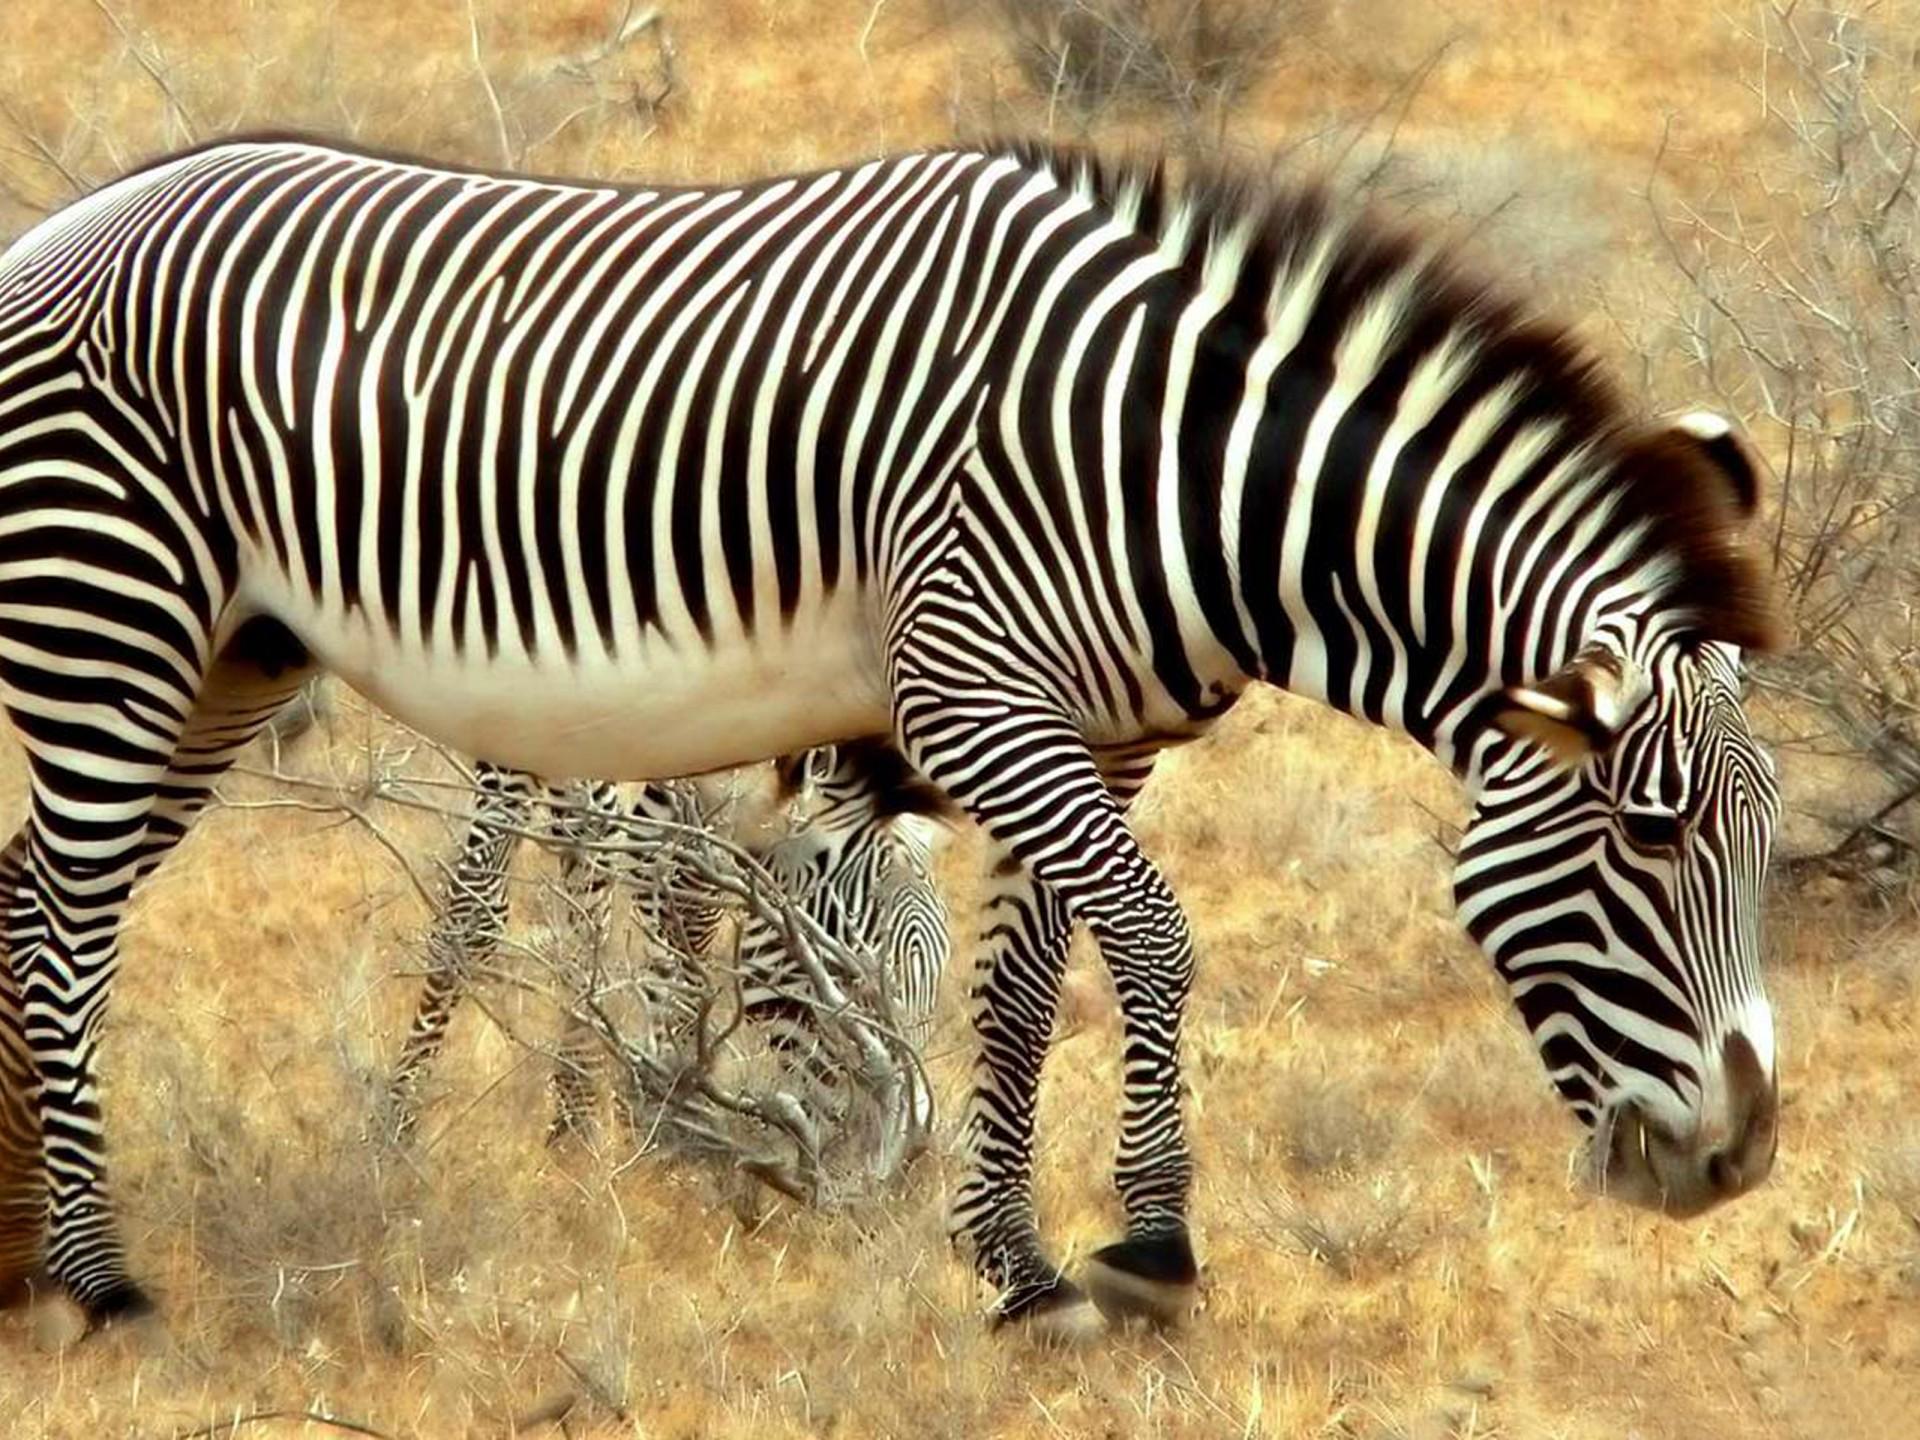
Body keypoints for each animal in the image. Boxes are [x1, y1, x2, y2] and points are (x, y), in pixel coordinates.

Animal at [385, 741, 951, 1147]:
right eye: (854, 971)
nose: (909, 1150)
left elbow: (651, 882)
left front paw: (650, 1102)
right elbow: (484, 908)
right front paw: (397, 1119)